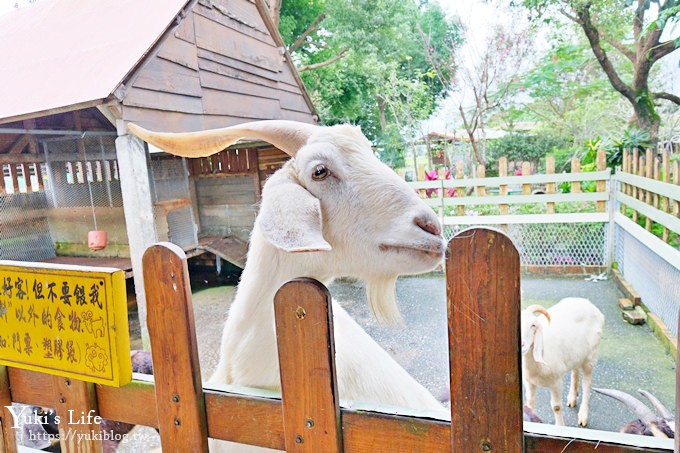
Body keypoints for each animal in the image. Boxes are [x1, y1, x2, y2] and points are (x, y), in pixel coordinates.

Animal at [520, 296, 604, 428]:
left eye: (533, 325)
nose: (522, 344)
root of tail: (587, 302)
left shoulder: (556, 382)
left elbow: (556, 407)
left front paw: (560, 426)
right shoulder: (529, 382)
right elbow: (529, 403)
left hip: (590, 357)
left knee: (587, 384)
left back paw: (583, 415)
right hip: (576, 353)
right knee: (575, 371)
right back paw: (572, 398)